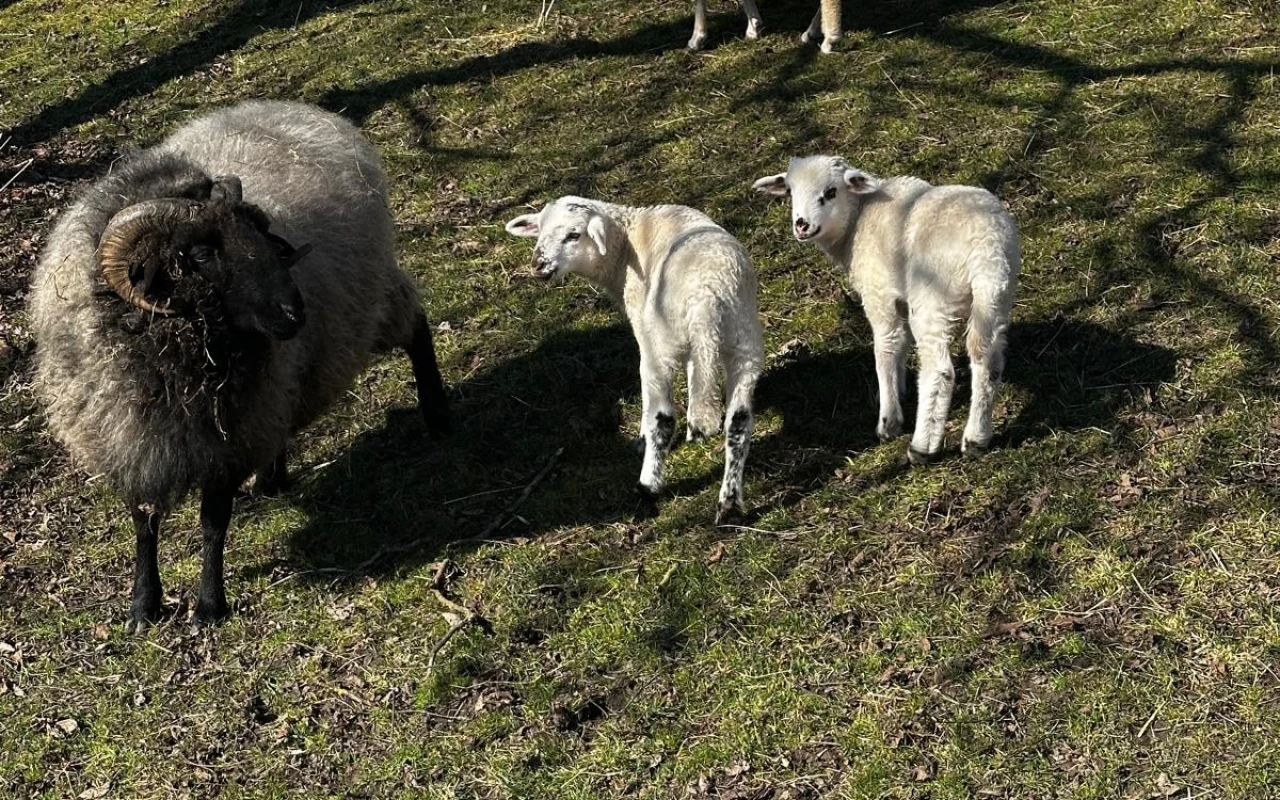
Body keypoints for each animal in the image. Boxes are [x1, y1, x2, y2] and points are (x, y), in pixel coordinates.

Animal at [29, 100, 450, 630]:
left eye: (260, 233)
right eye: (201, 254)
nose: (294, 314)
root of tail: (294, 107)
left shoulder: (229, 438)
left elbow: (213, 522)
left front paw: (209, 605)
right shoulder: (127, 439)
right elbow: (144, 523)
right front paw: (143, 606)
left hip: (367, 304)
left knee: (415, 326)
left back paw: (438, 416)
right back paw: (271, 480)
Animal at [504, 196, 764, 523]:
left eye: (574, 235)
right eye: (539, 232)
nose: (538, 266)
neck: (626, 245)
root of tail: (708, 295)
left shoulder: (644, 328)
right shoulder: (698, 349)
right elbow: (697, 375)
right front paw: (698, 426)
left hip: (662, 346)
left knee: (663, 418)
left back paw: (647, 486)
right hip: (744, 343)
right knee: (739, 421)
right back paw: (729, 503)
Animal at [752, 156, 1019, 463]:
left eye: (831, 192)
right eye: (790, 192)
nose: (802, 225)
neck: (858, 219)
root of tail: (987, 248)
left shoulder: (879, 294)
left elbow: (886, 348)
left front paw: (889, 420)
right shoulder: (899, 298)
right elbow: (901, 345)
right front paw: (899, 391)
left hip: (933, 297)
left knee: (939, 370)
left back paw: (922, 447)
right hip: (995, 297)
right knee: (987, 360)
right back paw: (976, 438)